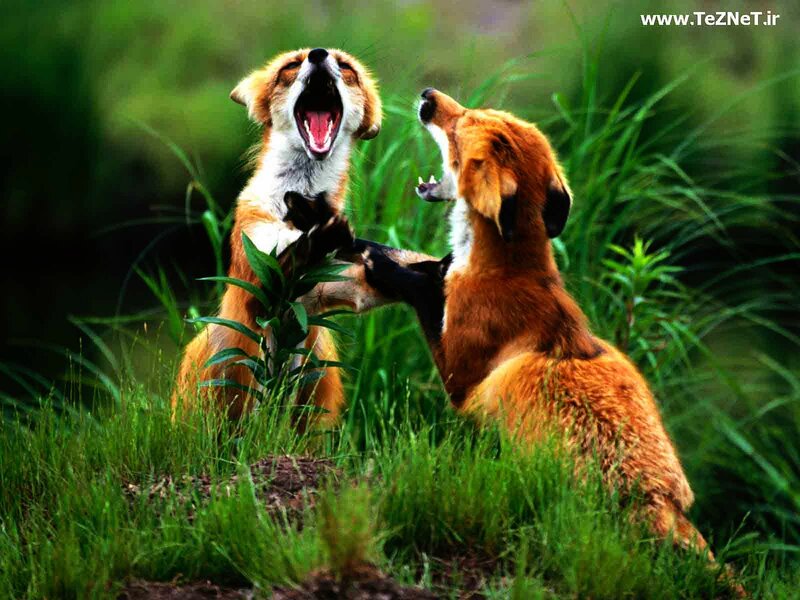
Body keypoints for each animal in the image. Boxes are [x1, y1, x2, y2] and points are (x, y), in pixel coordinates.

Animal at [361, 88, 723, 562]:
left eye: (460, 125)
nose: (428, 96)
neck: (505, 269)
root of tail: (655, 499)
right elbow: (428, 265)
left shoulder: (462, 381)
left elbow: (422, 288)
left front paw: (380, 264)